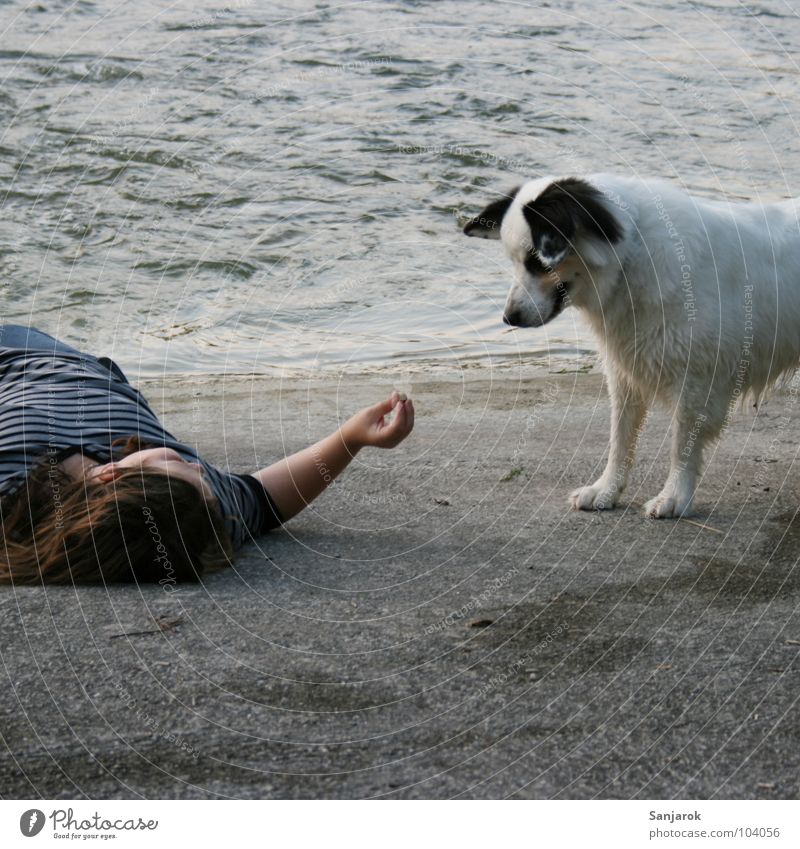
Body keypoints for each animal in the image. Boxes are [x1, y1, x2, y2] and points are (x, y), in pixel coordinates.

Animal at [462, 173, 800, 516]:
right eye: (515, 262)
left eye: (538, 263)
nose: (509, 318)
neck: (630, 255)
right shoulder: (625, 370)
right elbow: (620, 437)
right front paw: (606, 490)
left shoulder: (696, 379)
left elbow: (682, 444)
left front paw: (674, 497)